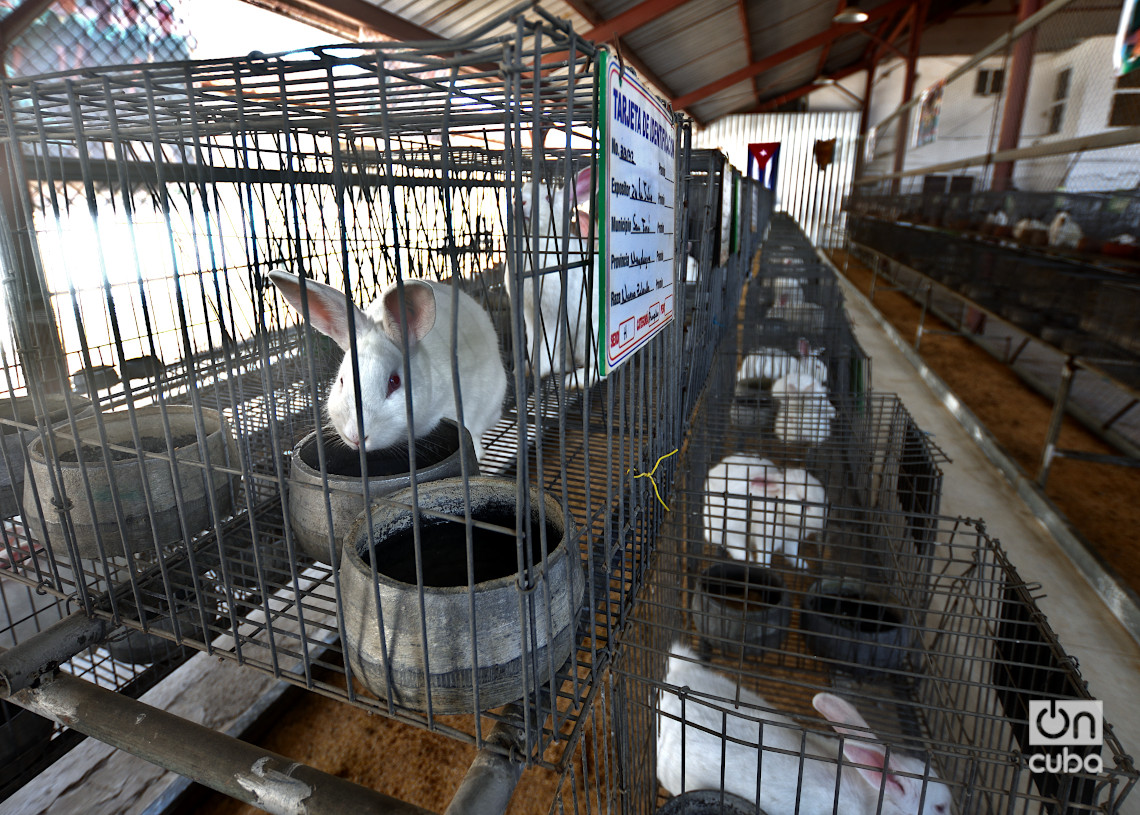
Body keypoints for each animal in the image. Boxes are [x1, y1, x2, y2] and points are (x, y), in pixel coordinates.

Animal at [508, 165, 597, 389]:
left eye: (548, 197)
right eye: (518, 190)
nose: (519, 201)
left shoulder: (553, 313)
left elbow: (548, 343)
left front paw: (539, 369)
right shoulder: (529, 314)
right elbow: (533, 342)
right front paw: (525, 368)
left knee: (598, 368)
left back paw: (573, 381)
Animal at [697, 453, 825, 574]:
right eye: (804, 503)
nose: (822, 524)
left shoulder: (790, 542)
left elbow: (793, 555)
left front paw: (804, 567)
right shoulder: (765, 539)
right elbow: (764, 557)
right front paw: (765, 569)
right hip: (731, 533)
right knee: (738, 551)